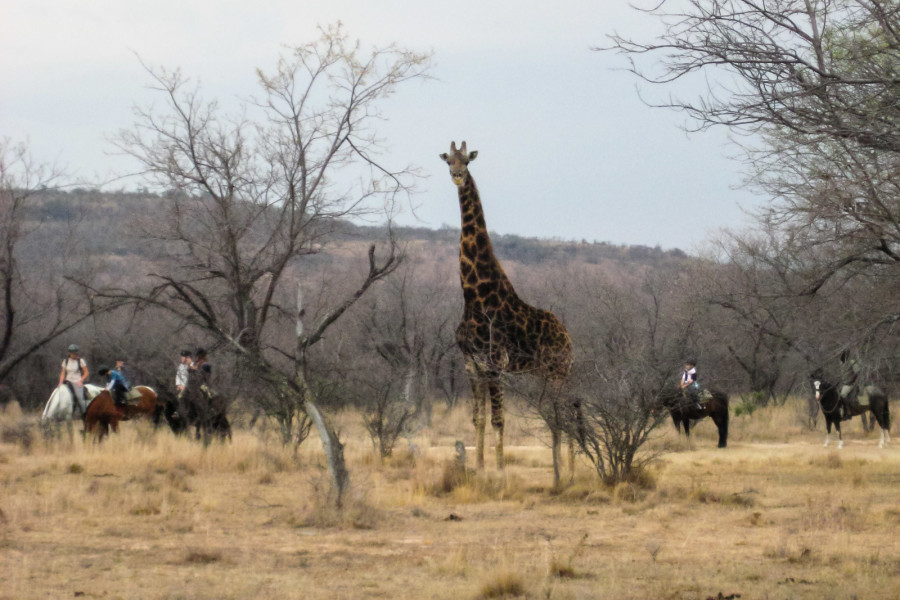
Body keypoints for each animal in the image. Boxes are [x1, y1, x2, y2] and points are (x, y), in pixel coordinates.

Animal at [440, 142, 572, 478]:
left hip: (559, 371)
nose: (457, 176)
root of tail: (569, 338)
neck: (474, 294)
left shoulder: (495, 363)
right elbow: (478, 418)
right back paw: (562, 467)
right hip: (544, 373)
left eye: (466, 161)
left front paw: (500, 471)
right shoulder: (471, 364)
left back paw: (568, 470)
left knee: (563, 413)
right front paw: (478, 467)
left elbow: (499, 419)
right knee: (556, 415)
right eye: (448, 160)